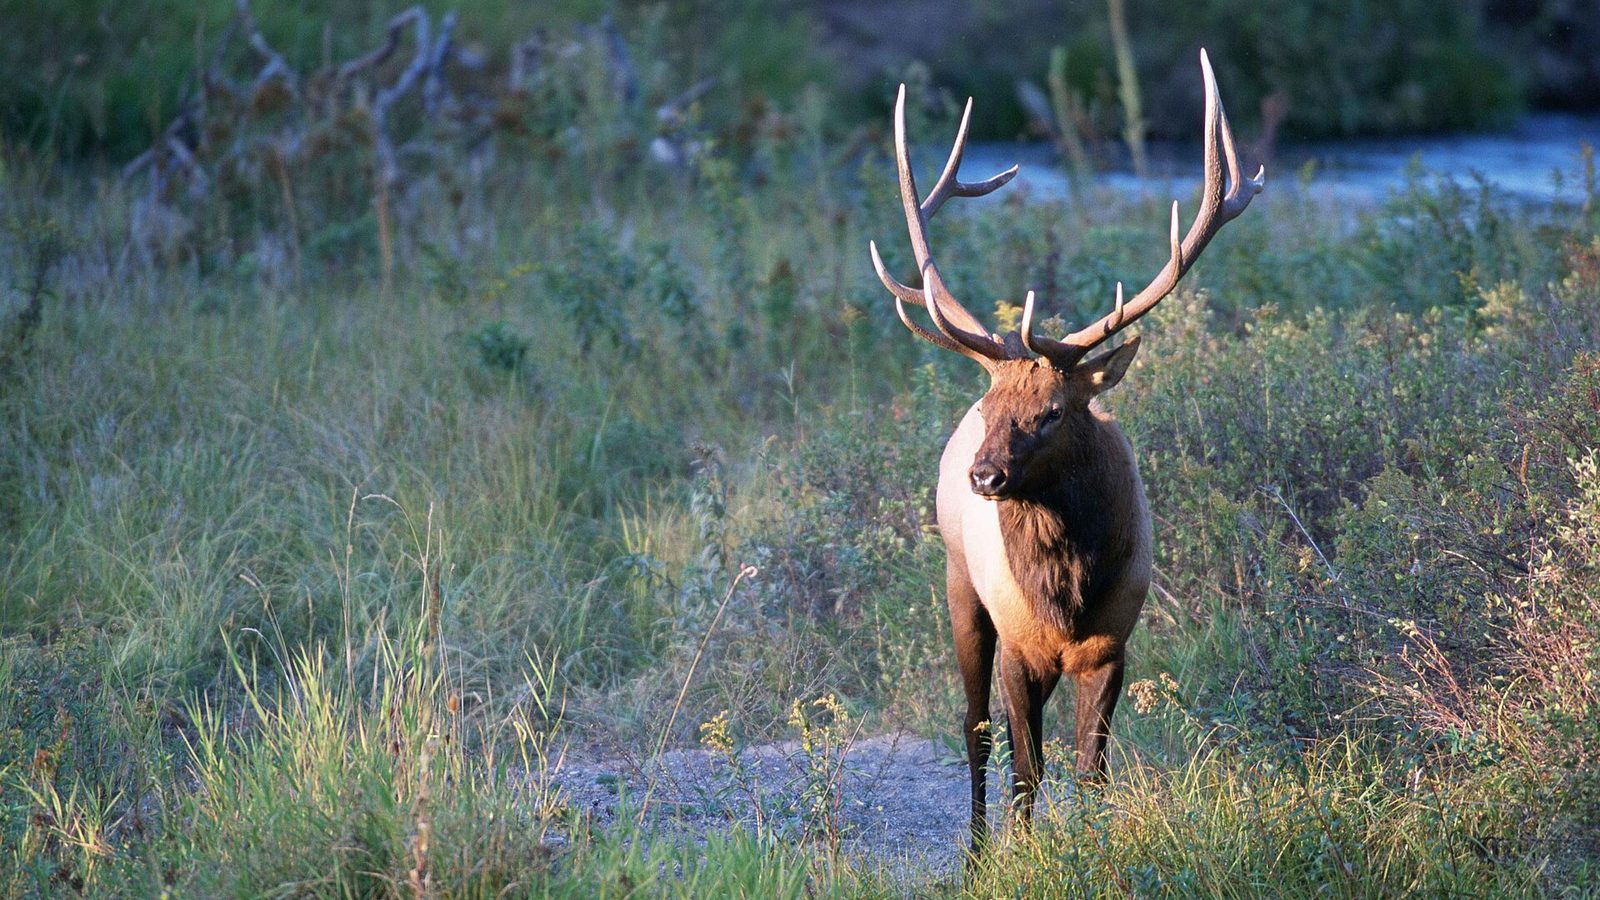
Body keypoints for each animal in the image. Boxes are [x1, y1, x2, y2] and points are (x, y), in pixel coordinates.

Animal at [868, 50, 1263, 852]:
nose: (984, 474)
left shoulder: (1112, 644)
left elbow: (1091, 770)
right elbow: (1026, 767)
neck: (1067, 595)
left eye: (1052, 412)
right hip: (959, 582)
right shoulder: (1021, 646)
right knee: (975, 727)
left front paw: (1091, 846)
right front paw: (1019, 856)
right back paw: (977, 850)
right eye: (991, 408)